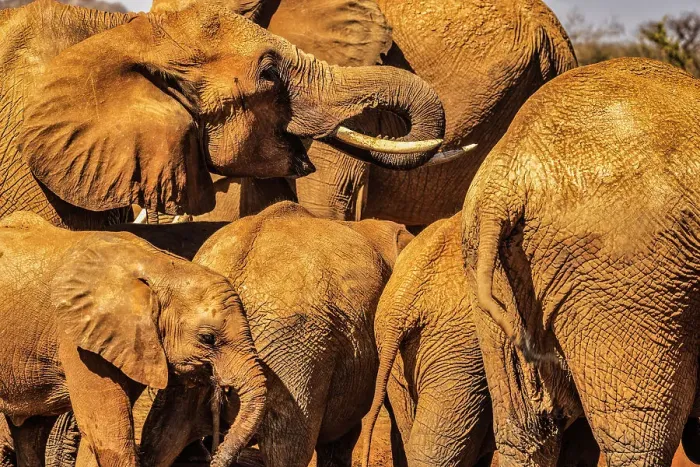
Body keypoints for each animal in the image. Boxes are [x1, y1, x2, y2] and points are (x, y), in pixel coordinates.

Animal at [0, 211, 265, 467]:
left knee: (30, 432)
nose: (213, 456)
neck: (162, 266)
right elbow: (110, 439)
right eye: (208, 338)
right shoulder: (76, 339)